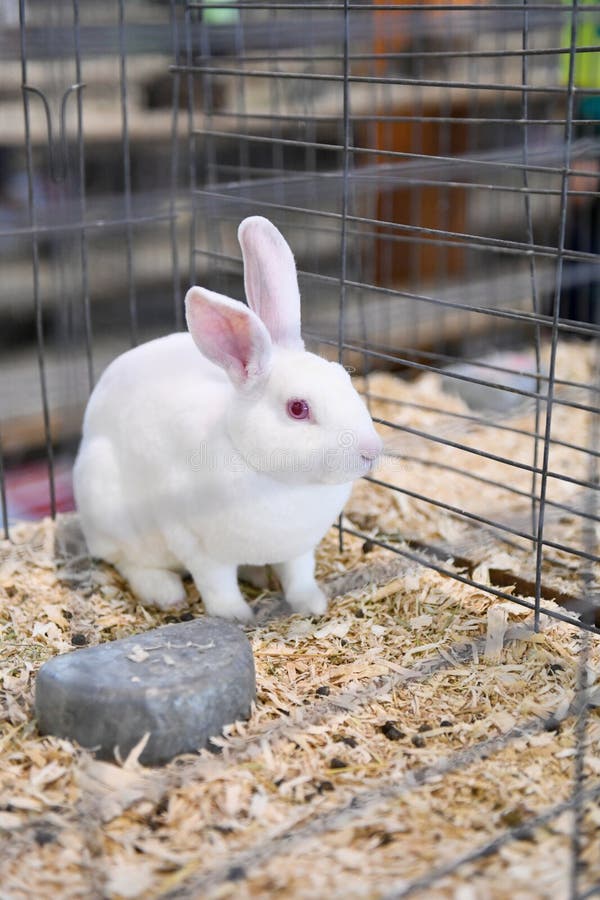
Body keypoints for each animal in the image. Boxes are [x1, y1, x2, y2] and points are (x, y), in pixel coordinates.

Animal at [73, 216, 382, 622]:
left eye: (344, 378)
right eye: (298, 408)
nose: (371, 451)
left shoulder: (299, 549)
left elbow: (300, 575)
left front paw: (312, 604)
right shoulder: (198, 547)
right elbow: (217, 586)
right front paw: (237, 617)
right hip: (110, 513)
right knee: (129, 562)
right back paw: (166, 593)